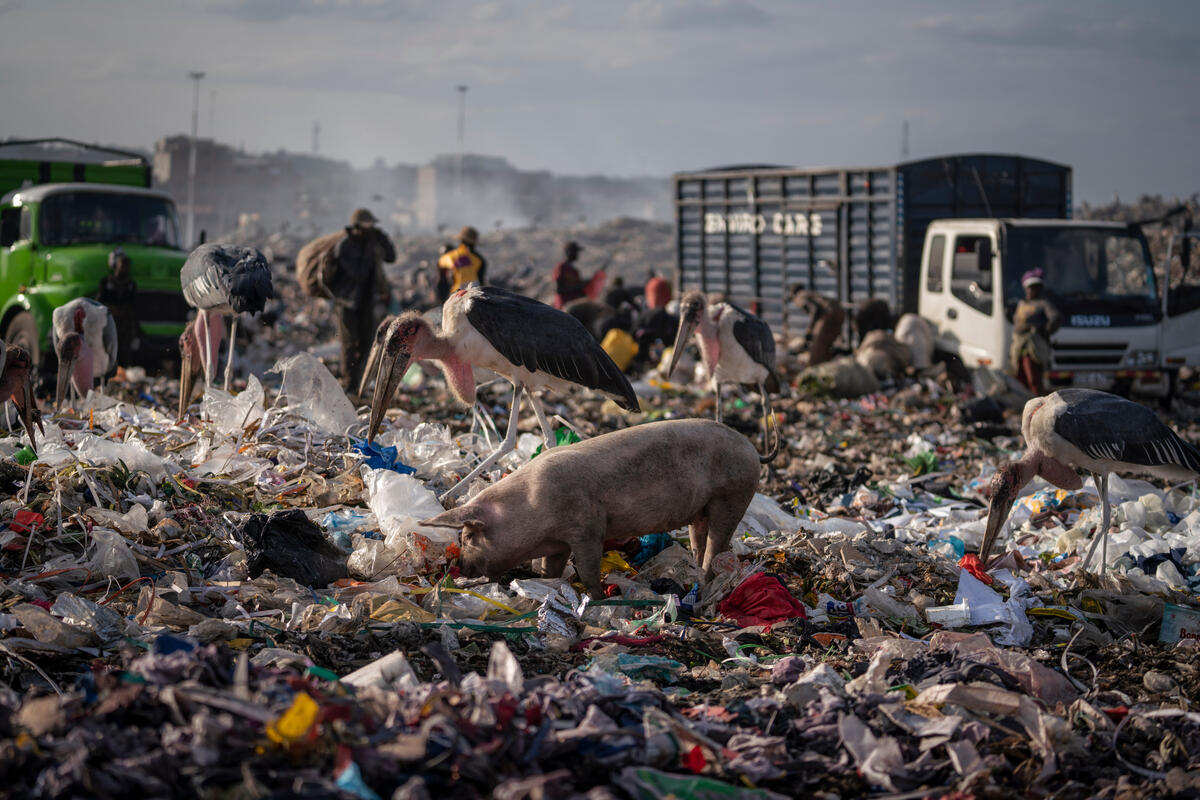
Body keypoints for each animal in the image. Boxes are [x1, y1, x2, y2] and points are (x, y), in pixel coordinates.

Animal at [422, 422, 758, 597]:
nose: (459, 568)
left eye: (468, 537)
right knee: (700, 541)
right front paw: (547, 586)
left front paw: (596, 599)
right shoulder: (557, 544)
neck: (532, 509)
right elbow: (550, 569)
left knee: (717, 545)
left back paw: (705, 584)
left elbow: (588, 569)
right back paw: (696, 578)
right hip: (701, 509)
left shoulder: (588, 529)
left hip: (733, 496)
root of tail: (750, 446)